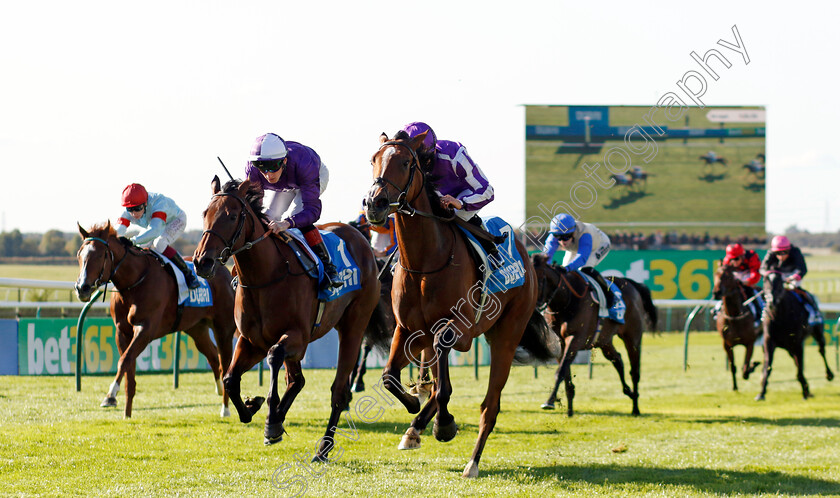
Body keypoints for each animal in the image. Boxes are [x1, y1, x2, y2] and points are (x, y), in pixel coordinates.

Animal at [74, 222, 235, 416]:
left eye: (100, 255)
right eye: (79, 255)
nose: (82, 288)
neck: (134, 282)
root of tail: (225, 272)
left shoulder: (146, 329)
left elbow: (124, 360)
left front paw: (110, 395)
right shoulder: (122, 331)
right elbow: (129, 366)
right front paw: (127, 413)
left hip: (223, 328)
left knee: (226, 363)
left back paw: (225, 409)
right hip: (197, 328)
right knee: (212, 356)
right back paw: (219, 389)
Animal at [192, 176, 388, 460]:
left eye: (231, 216)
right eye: (205, 213)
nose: (201, 262)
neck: (266, 277)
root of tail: (359, 237)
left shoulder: (296, 337)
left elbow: (274, 356)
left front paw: (270, 418)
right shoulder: (251, 341)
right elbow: (230, 380)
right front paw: (253, 408)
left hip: (353, 325)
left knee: (338, 390)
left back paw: (323, 447)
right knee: (297, 380)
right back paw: (278, 418)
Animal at [362, 130, 556, 476]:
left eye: (406, 161)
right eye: (373, 159)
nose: (375, 203)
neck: (426, 261)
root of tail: (526, 257)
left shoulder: (455, 327)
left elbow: (443, 383)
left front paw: (443, 425)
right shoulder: (406, 329)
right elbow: (389, 377)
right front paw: (415, 406)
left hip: (505, 337)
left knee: (490, 406)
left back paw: (472, 461)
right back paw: (415, 428)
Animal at [532, 253, 656, 416]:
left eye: (539, 279)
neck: (566, 300)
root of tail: (632, 284)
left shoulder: (576, 338)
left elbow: (561, 371)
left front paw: (550, 401)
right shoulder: (558, 342)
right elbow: (566, 373)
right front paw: (570, 409)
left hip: (632, 337)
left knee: (634, 371)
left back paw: (635, 407)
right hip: (604, 340)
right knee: (617, 360)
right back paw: (628, 392)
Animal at [756, 268, 832, 400]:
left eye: (780, 282)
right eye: (765, 281)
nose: (771, 301)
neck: (780, 316)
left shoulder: (797, 343)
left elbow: (800, 368)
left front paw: (805, 392)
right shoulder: (769, 341)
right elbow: (768, 366)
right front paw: (761, 393)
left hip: (818, 332)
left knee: (821, 351)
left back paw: (829, 374)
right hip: (789, 347)